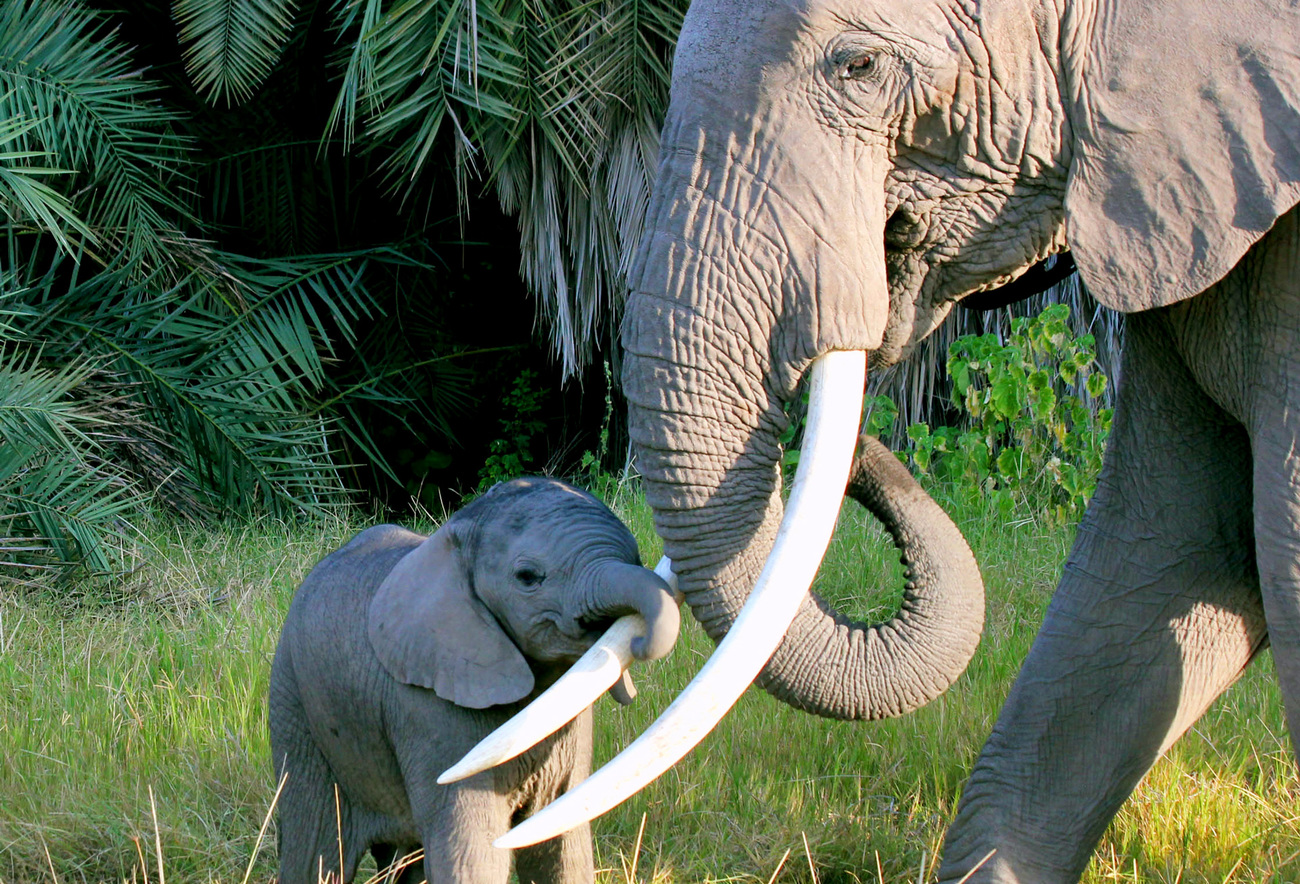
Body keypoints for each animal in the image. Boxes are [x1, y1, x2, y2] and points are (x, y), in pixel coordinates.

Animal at [267, 475, 676, 883]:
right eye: (527, 577)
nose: (638, 640)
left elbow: (560, 842)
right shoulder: (426, 704)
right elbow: (472, 846)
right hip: (295, 706)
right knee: (315, 848)